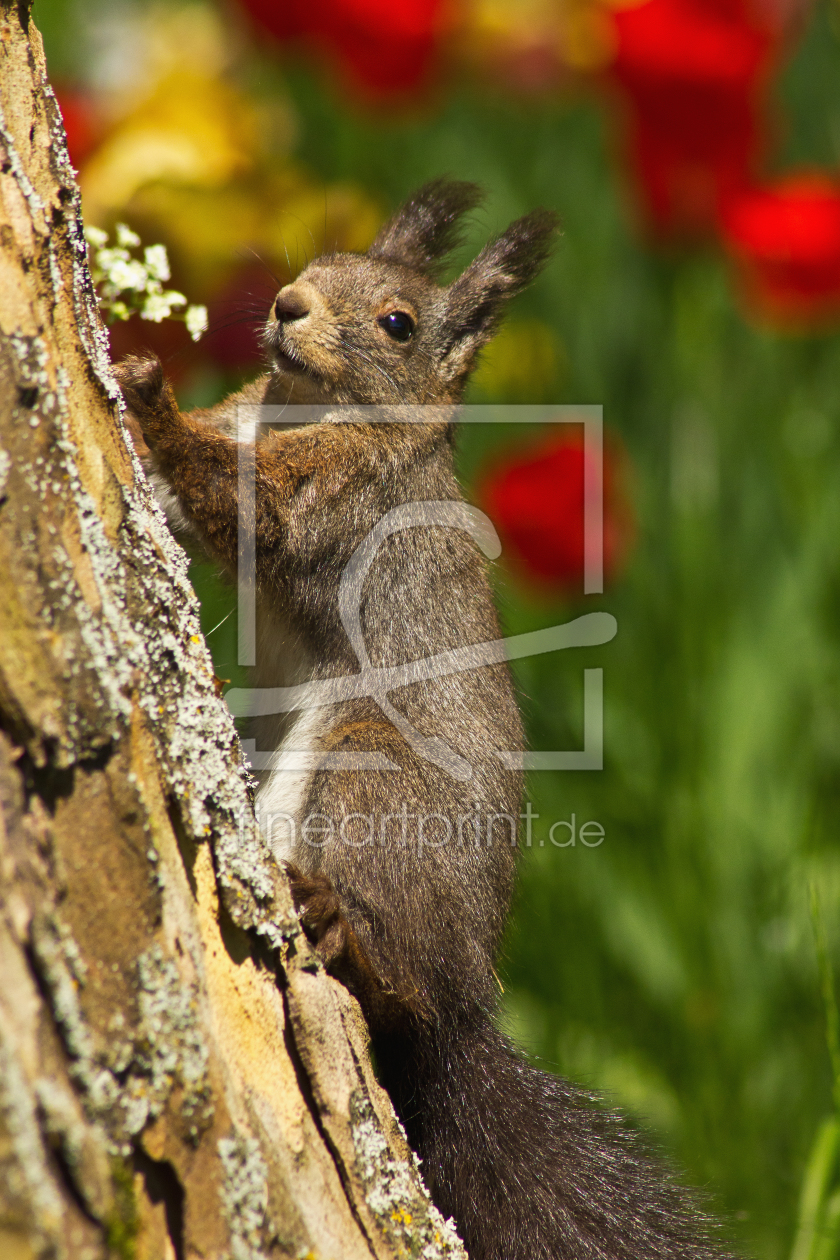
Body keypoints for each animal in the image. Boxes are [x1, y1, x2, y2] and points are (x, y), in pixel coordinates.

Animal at [115, 177, 730, 1260]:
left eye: (397, 324)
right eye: (317, 265)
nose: (287, 306)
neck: (310, 406)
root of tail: (463, 1005)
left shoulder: (339, 498)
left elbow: (247, 510)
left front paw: (150, 395)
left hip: (373, 782)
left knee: (396, 985)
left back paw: (347, 930)